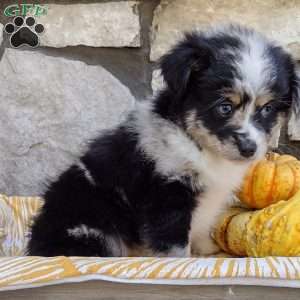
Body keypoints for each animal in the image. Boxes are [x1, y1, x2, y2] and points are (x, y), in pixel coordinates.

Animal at [27, 24, 298, 256]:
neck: (201, 147)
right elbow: (174, 246)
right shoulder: (167, 195)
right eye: (224, 107)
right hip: (91, 225)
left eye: (267, 109)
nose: (249, 149)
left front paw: (211, 251)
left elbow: (201, 232)